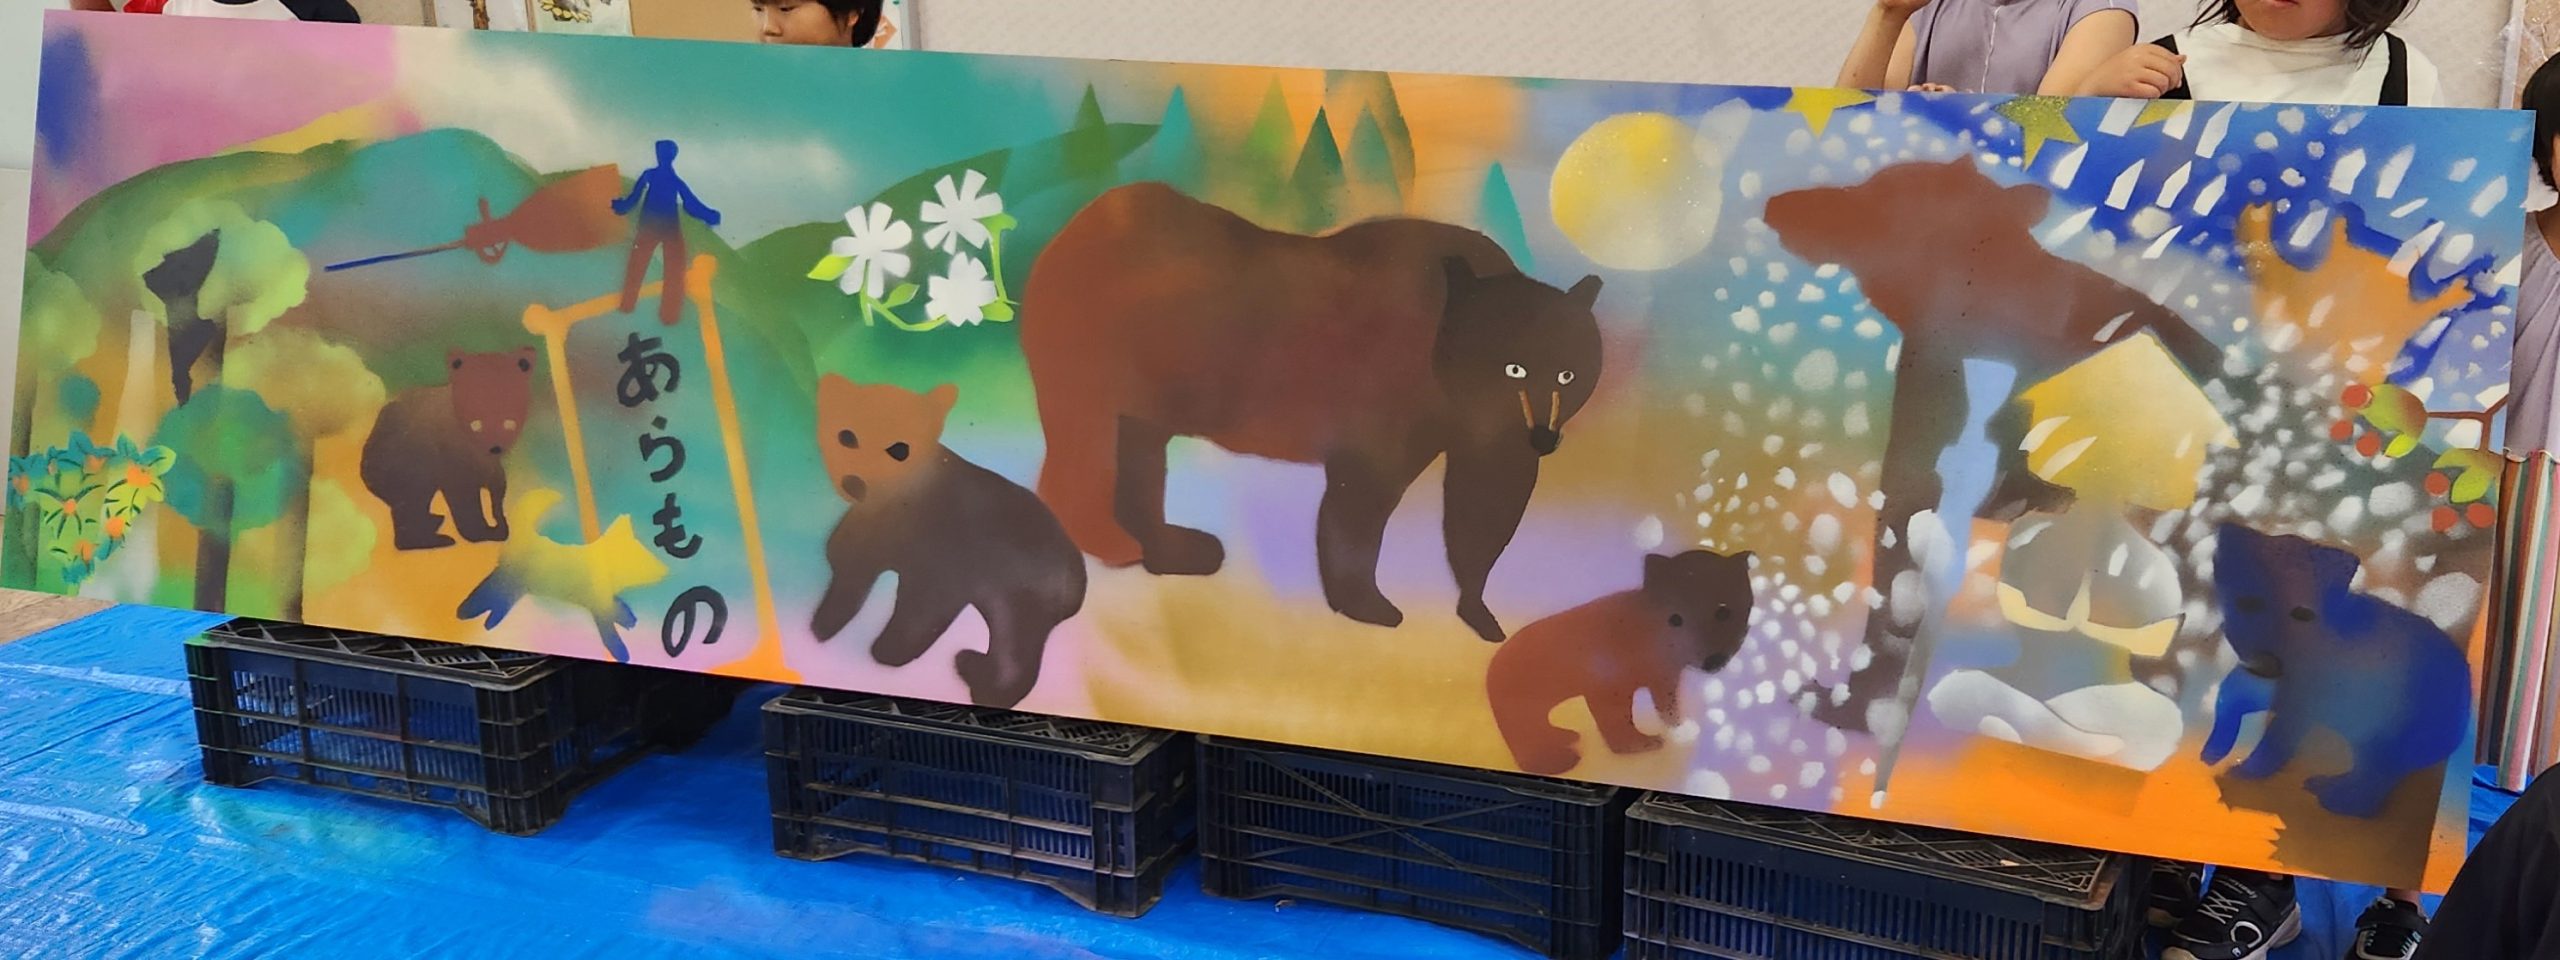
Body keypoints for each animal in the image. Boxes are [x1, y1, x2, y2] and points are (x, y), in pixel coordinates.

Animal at [359, 348, 536, 551]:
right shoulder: (448, 449)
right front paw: (484, 531)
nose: (495, 446)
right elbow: (463, 490)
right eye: (476, 421)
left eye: (509, 421)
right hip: (398, 463)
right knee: (413, 498)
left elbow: (493, 481)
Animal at [809, 376, 1088, 709]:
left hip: (1018, 601)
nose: (855, 482)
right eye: (846, 436)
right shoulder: (861, 551)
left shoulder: (941, 572)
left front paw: (888, 651)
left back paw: (971, 668)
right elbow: (847, 578)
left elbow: (918, 615)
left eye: (900, 449)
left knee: (1014, 659)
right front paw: (824, 625)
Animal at [1019, 183, 1604, 644]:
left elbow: (1482, 499)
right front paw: (1372, 605)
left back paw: (1177, 547)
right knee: (1087, 445)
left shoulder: (1472, 423)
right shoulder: (1391, 388)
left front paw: (1480, 613)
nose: (1542, 437)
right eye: (1512, 368)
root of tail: (1079, 224)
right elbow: (1360, 498)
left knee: (1138, 450)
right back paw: (1113, 541)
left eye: (1570, 373)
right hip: (1095, 353)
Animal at [1485, 550, 1754, 776]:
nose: (1714, 660)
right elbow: (1617, 724)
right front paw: (1642, 743)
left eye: (1724, 611)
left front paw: (1679, 728)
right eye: (1675, 618)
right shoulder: (1606, 687)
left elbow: (1668, 708)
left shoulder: (1664, 679)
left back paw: (1565, 737)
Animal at [2204, 523, 2472, 819]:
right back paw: (2328, 784)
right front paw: (2214, 751)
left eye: (2303, 613)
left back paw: (2337, 800)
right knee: (2364, 777)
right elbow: (2229, 697)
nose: (2267, 663)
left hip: (2383, 742)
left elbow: (2273, 745)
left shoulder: (2298, 713)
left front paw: (2245, 770)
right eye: (2248, 603)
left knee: (2371, 791)